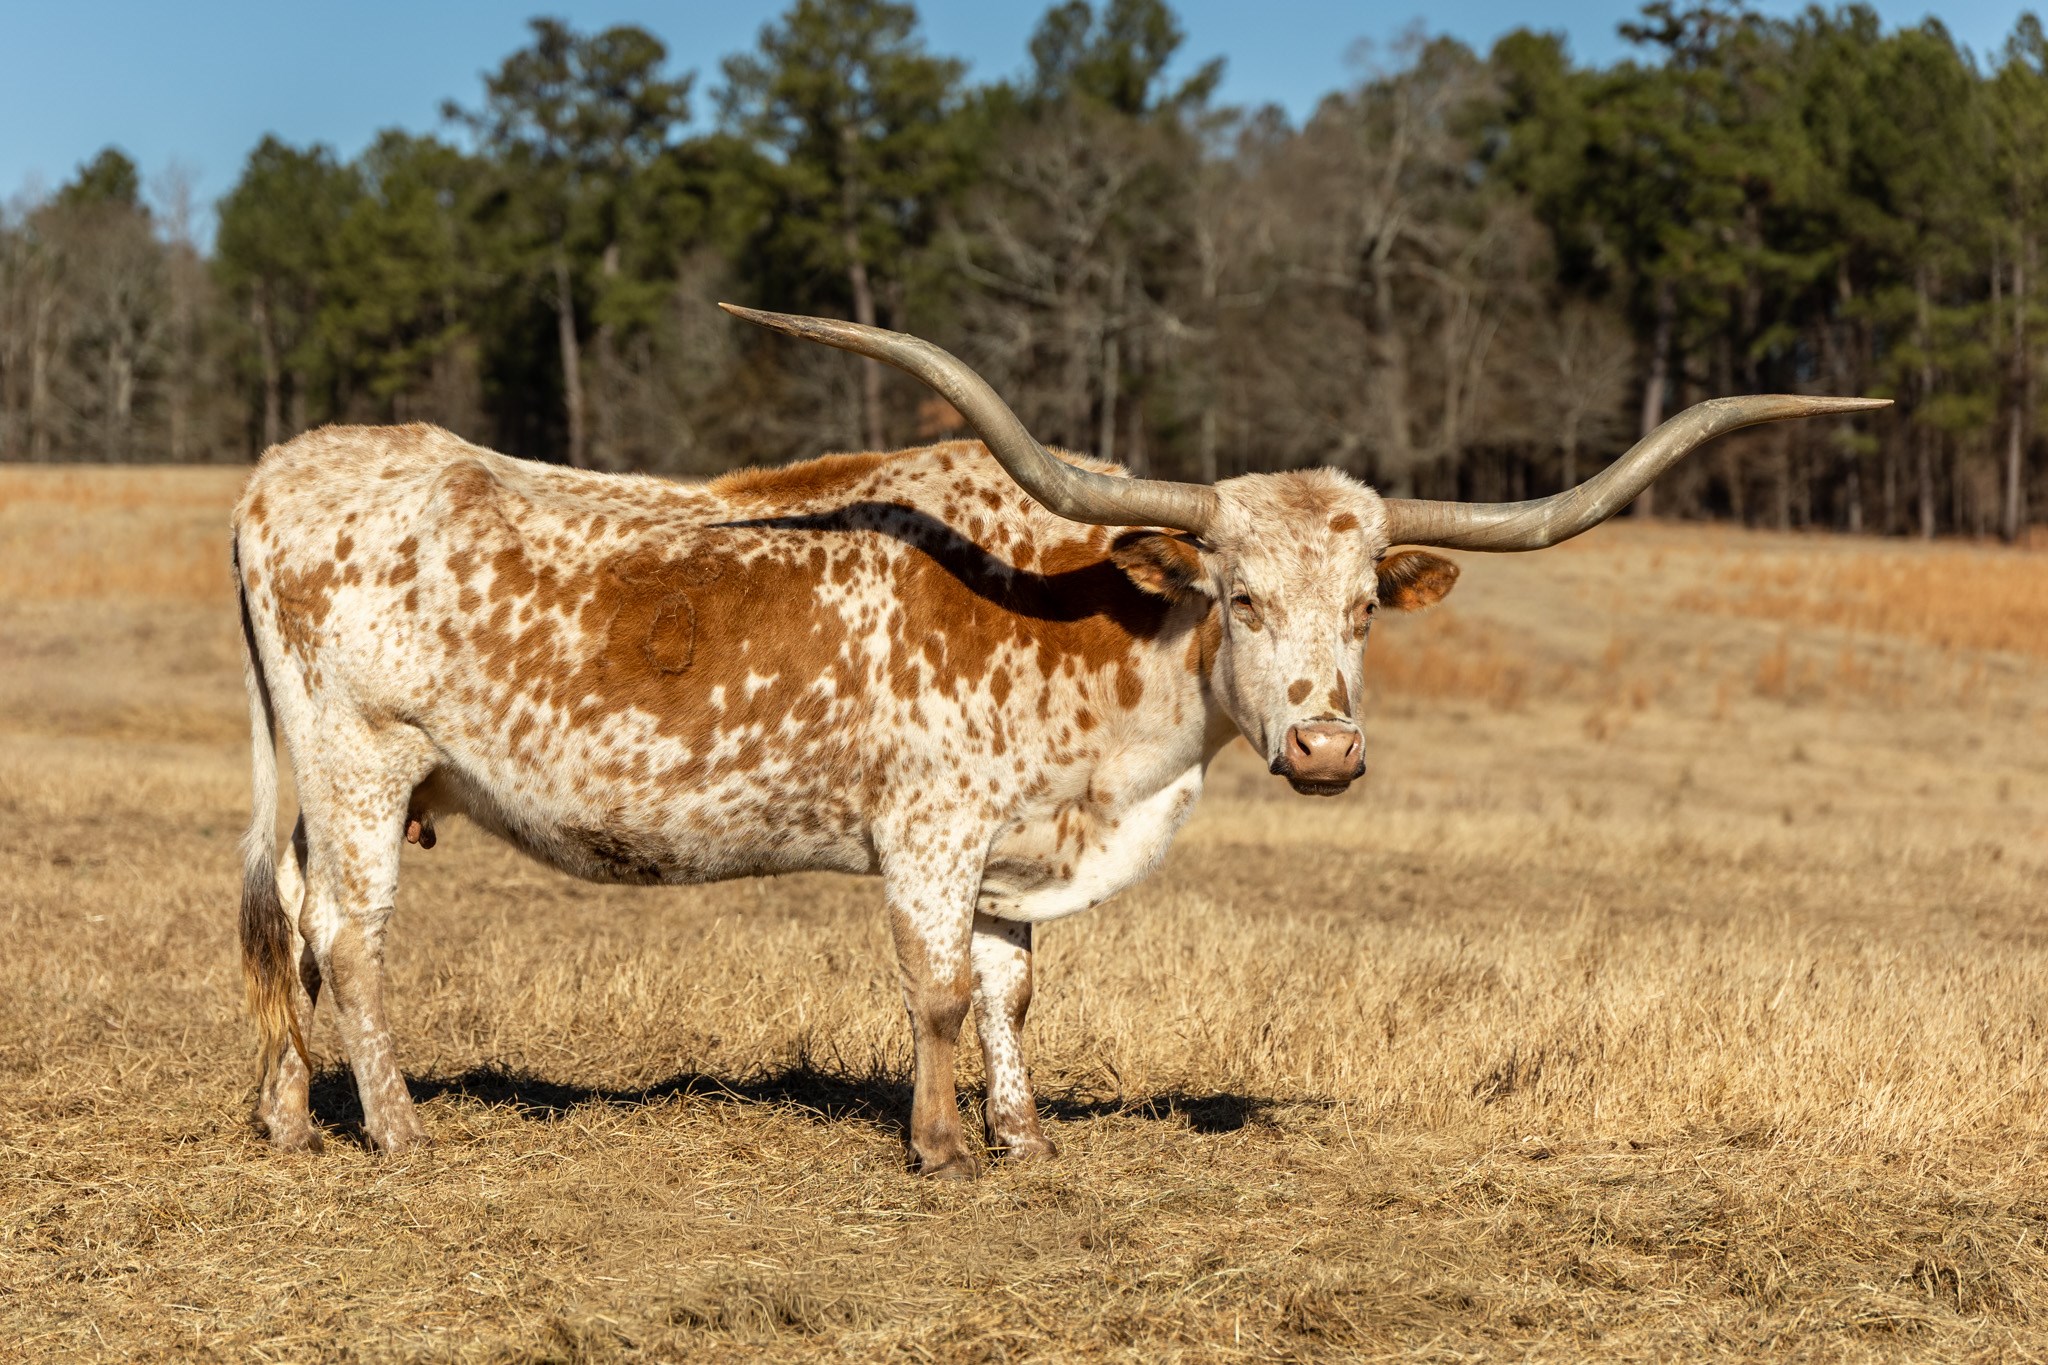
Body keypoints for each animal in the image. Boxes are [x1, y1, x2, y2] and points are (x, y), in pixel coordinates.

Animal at [232, 304, 1884, 1175]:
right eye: (1235, 591)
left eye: (1364, 603)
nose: (1327, 750)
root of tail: (287, 466)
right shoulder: (928, 832)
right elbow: (937, 990)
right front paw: (943, 1145)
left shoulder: (1016, 850)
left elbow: (1013, 990)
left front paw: (1022, 1136)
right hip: (366, 767)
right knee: (353, 941)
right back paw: (396, 1130)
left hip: (327, 786)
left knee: (291, 927)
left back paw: (289, 1118)